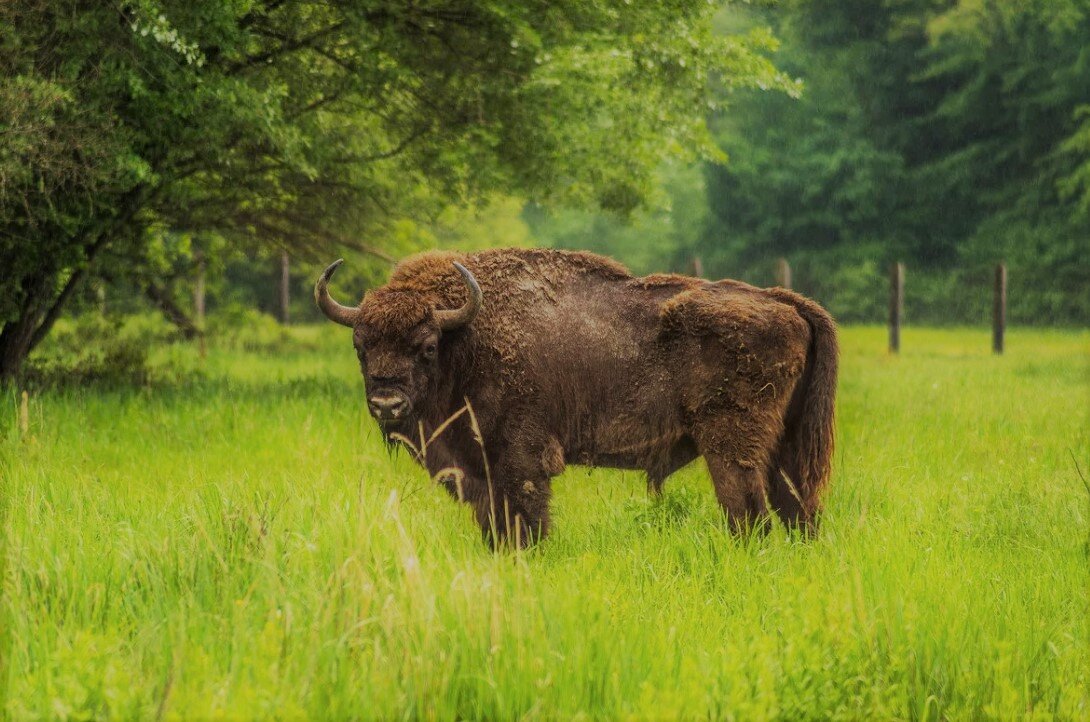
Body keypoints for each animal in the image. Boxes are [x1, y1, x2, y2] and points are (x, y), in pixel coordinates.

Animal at [311, 248, 837, 549]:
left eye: (425, 346)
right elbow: (494, 526)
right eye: (360, 346)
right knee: (797, 510)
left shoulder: (519, 461)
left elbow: (527, 520)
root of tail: (785, 301)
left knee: (749, 514)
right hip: (787, 449)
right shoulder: (479, 472)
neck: (467, 337)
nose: (387, 405)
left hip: (731, 450)